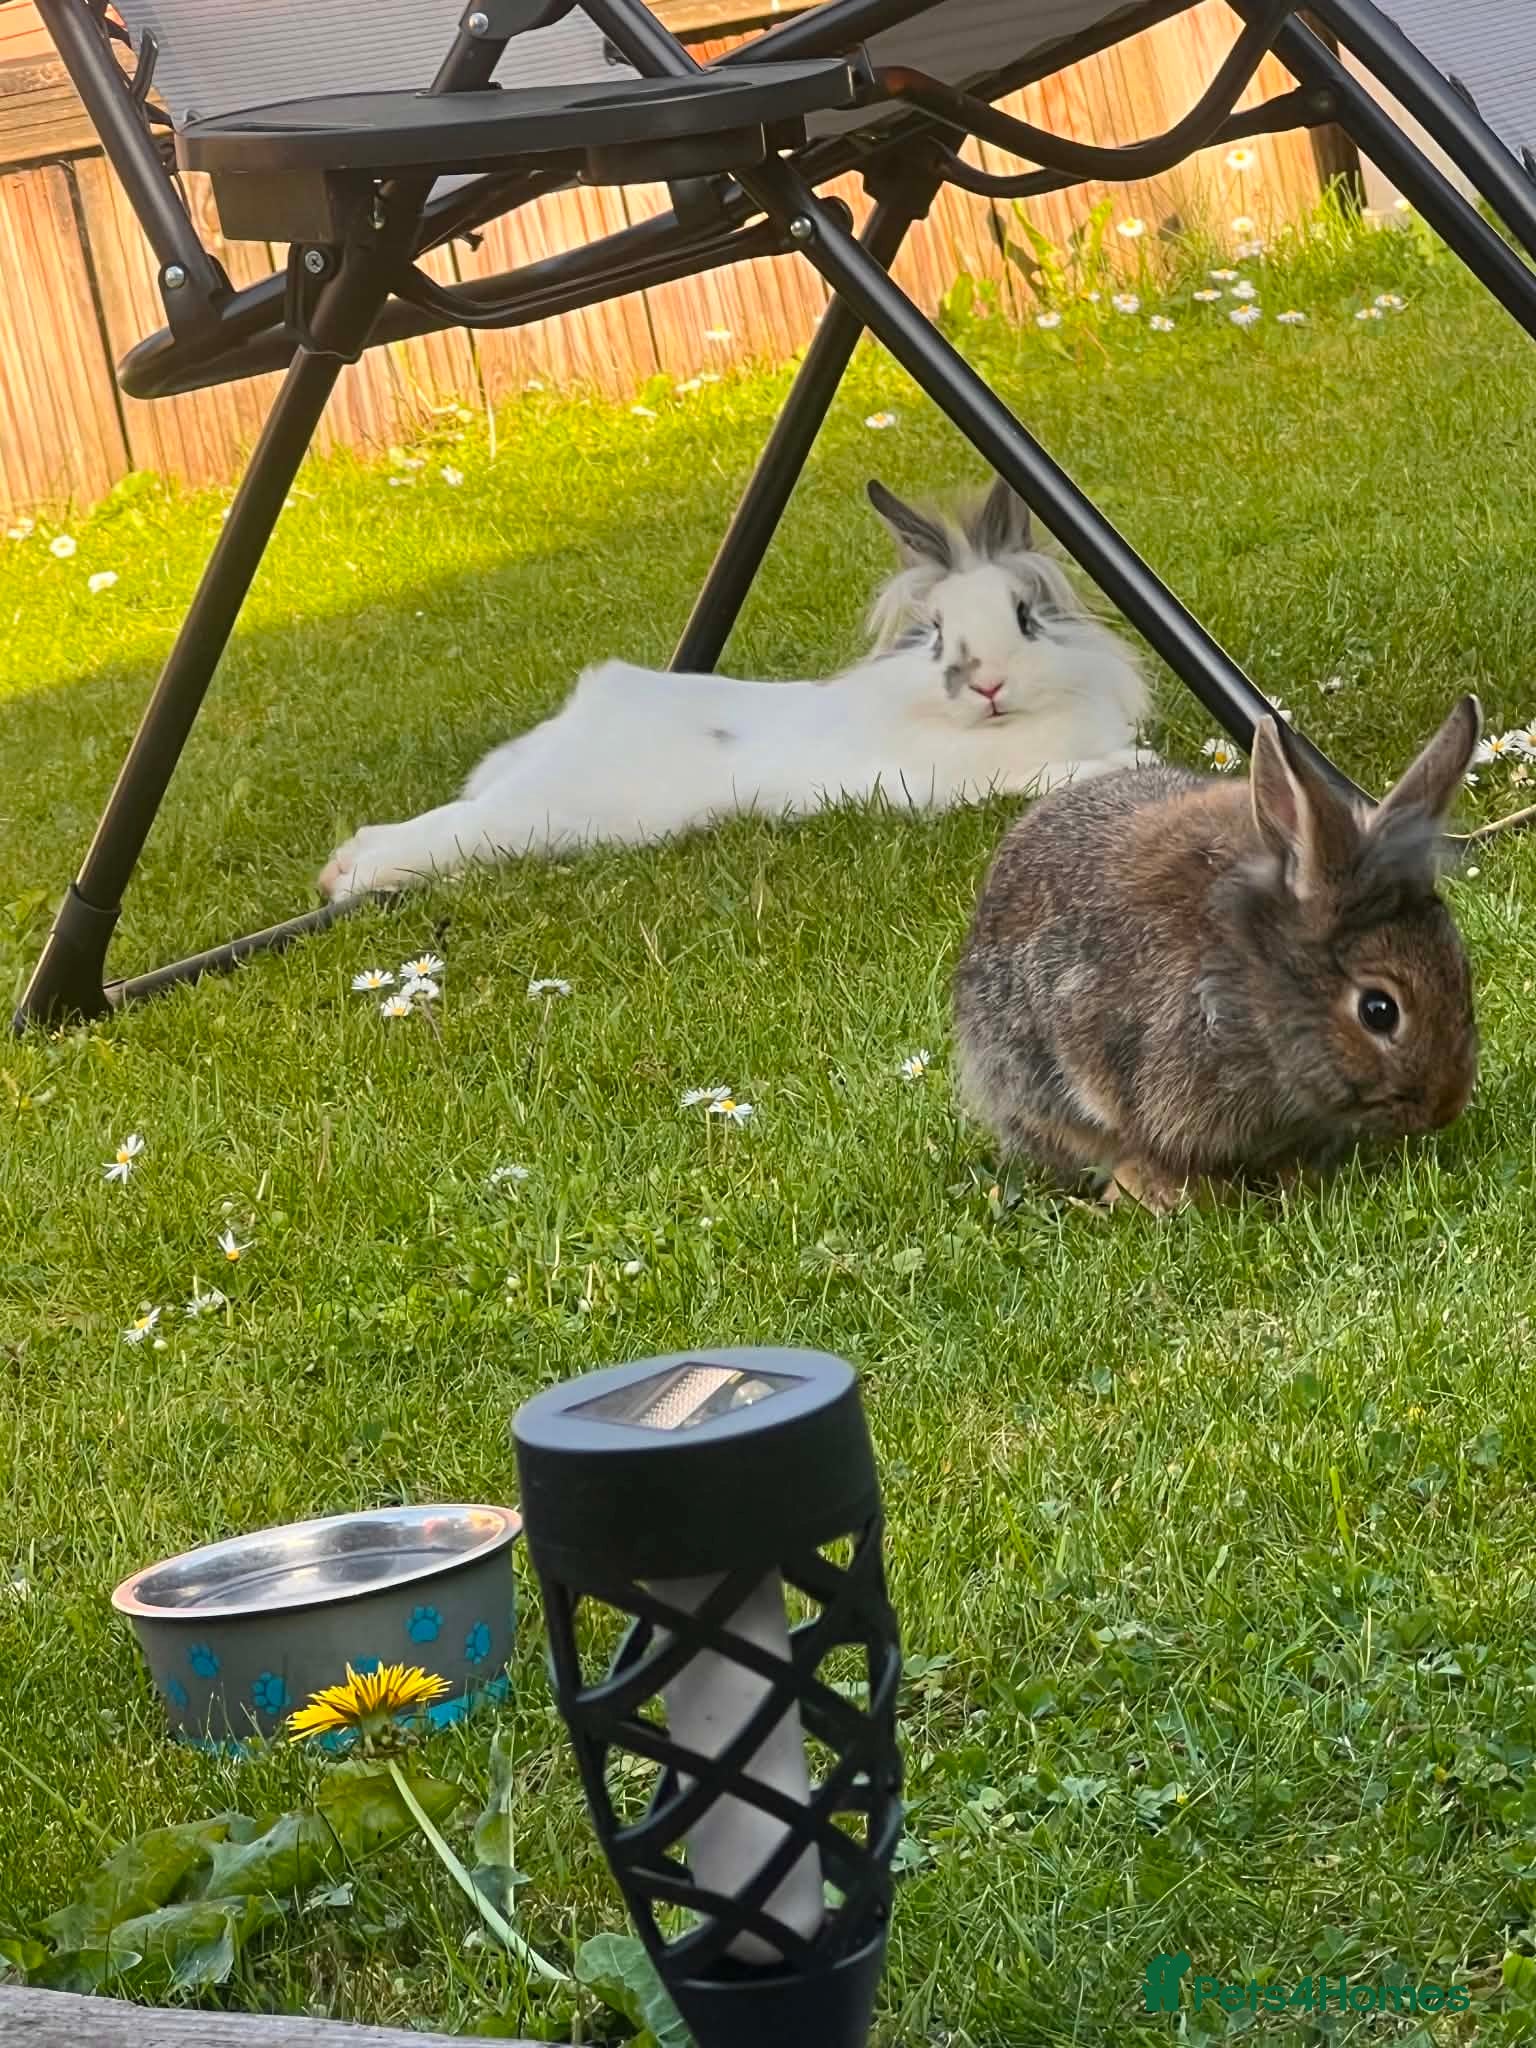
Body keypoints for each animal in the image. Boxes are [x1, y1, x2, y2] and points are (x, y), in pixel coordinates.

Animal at [318, 473, 1151, 901]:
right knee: (456, 832)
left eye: (1025, 617)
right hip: (550, 817)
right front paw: (1128, 766)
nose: (989, 686)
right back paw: (351, 878)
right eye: (938, 633)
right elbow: (1048, 778)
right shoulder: (940, 785)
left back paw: (345, 865)